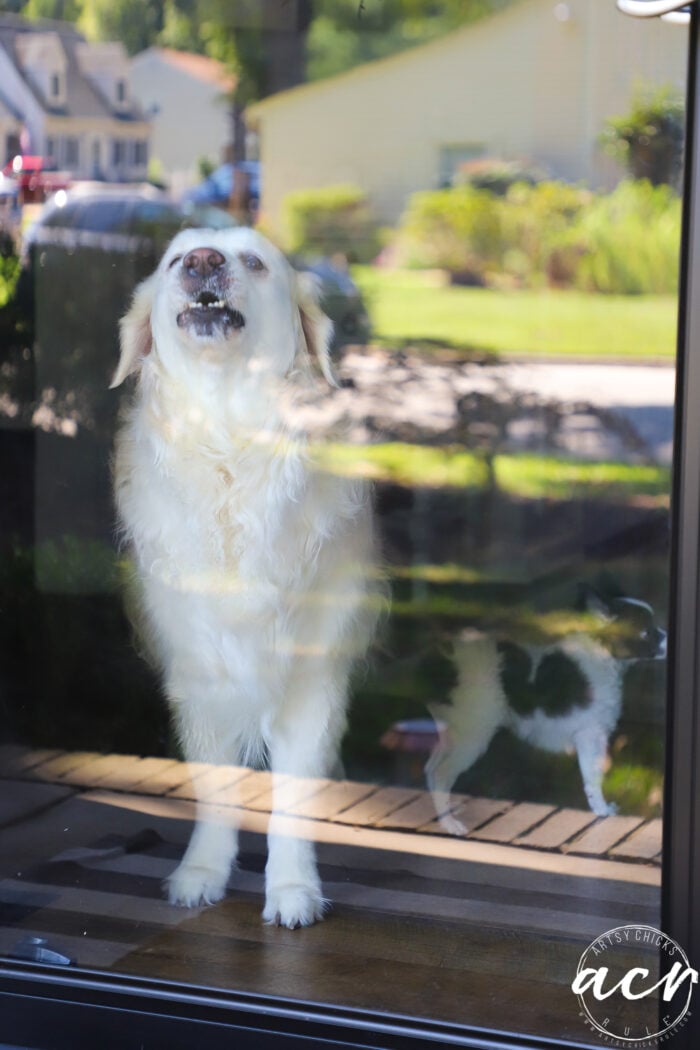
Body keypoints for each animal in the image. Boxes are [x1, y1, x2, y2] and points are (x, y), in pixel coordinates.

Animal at [112, 227, 379, 928]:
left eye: (254, 262)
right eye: (175, 261)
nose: (204, 262)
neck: (230, 435)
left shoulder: (313, 680)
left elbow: (294, 801)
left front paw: (292, 888)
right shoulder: (199, 676)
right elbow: (215, 790)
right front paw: (202, 872)